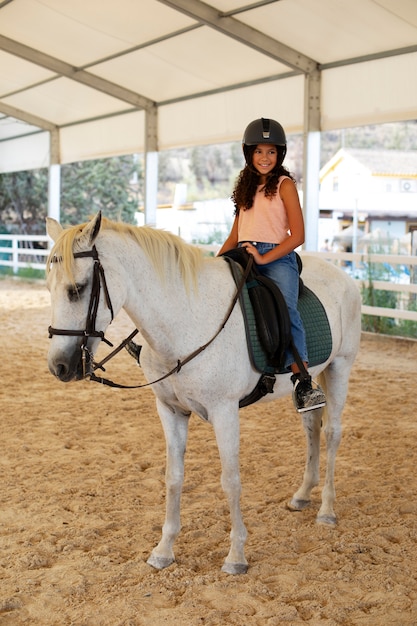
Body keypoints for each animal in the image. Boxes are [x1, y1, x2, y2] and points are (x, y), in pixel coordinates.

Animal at [45, 212, 360, 572]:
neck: (184, 322)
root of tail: (345, 277)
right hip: (311, 379)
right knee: (312, 427)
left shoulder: (225, 412)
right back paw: (303, 495)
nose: (59, 366)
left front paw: (236, 555)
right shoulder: (170, 410)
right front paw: (164, 550)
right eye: (49, 287)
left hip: (340, 367)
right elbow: (174, 477)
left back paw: (326, 510)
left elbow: (230, 480)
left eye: (77, 289)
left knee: (332, 433)